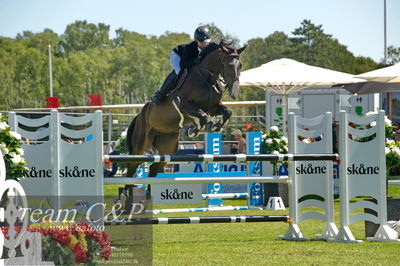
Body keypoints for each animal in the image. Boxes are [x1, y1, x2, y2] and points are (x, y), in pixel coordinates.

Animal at [126, 40, 245, 179]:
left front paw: (215, 126)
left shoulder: (213, 107)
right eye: (228, 64)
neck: (207, 79)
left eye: (240, 65)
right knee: (132, 166)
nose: (235, 93)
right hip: (141, 143)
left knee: (154, 168)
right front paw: (192, 130)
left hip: (168, 145)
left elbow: (227, 112)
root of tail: (139, 115)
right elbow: (203, 117)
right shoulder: (184, 105)